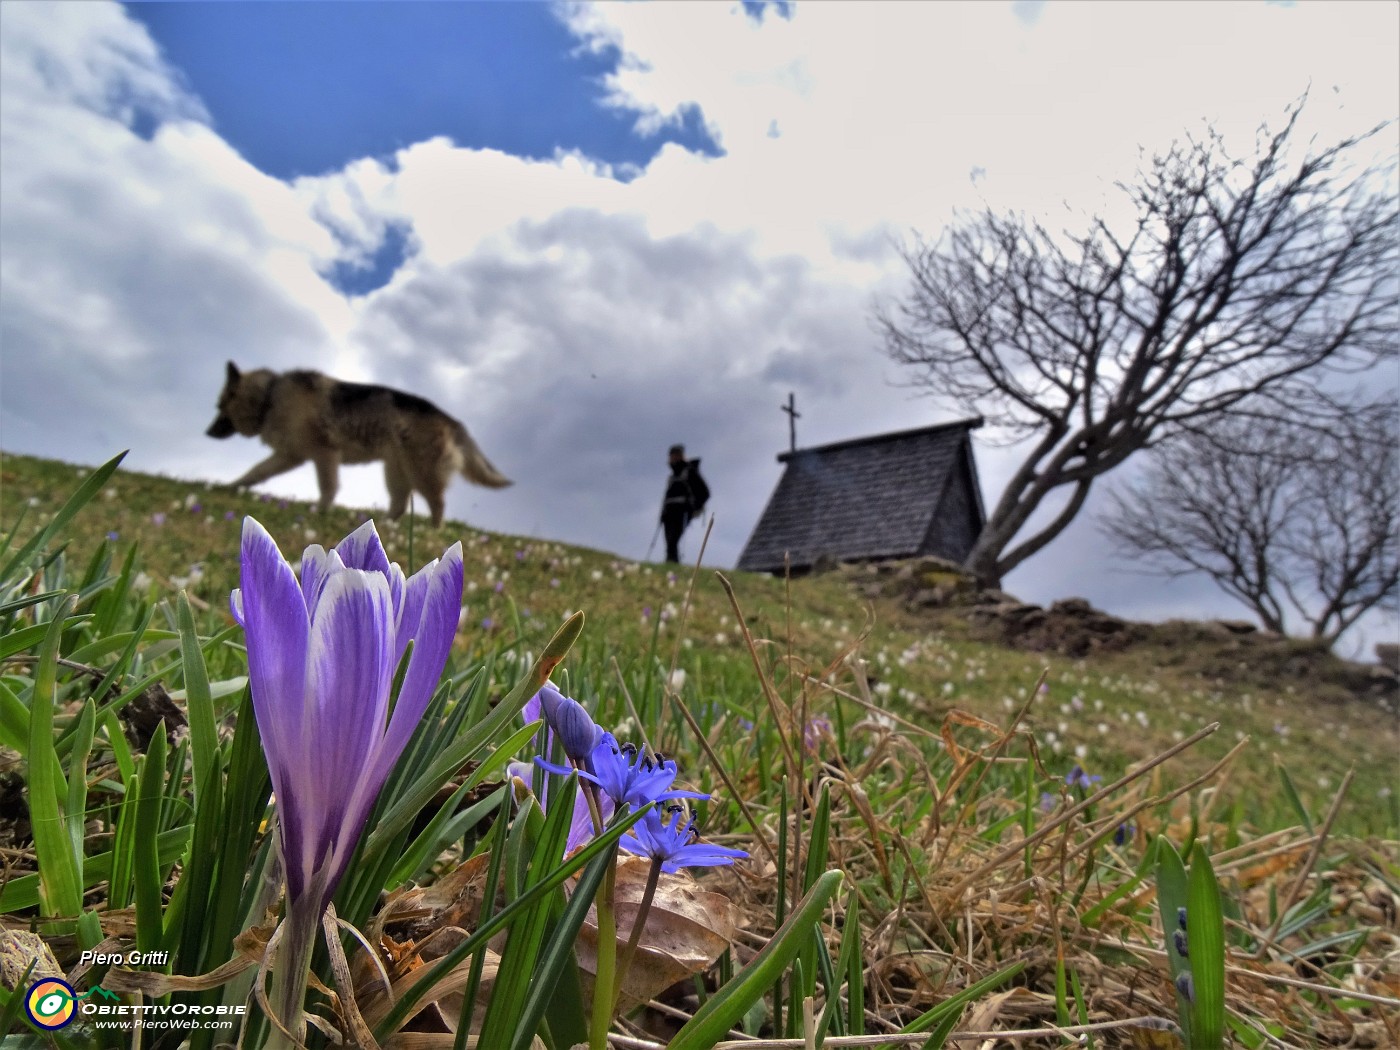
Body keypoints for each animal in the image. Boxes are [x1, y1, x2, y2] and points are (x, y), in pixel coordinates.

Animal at [204, 361, 512, 526]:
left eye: (219, 406)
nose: (206, 432)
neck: (269, 397)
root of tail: (452, 420)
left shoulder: (324, 454)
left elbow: (328, 487)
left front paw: (320, 512)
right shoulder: (290, 456)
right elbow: (256, 472)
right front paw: (231, 486)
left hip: (421, 473)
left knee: (438, 503)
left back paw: (436, 533)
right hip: (396, 472)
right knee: (400, 504)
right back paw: (385, 527)